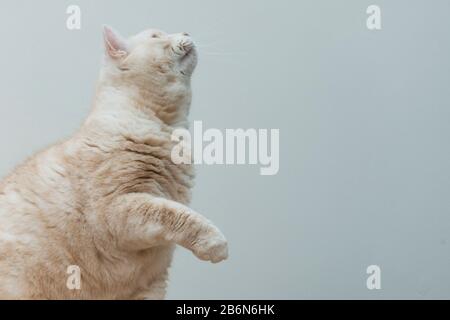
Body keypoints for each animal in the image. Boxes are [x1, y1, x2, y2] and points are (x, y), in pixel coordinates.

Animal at [0, 25, 229, 300]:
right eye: (156, 36)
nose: (185, 32)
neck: (167, 128)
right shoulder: (118, 209)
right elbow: (175, 214)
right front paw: (215, 244)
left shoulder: (153, 280)